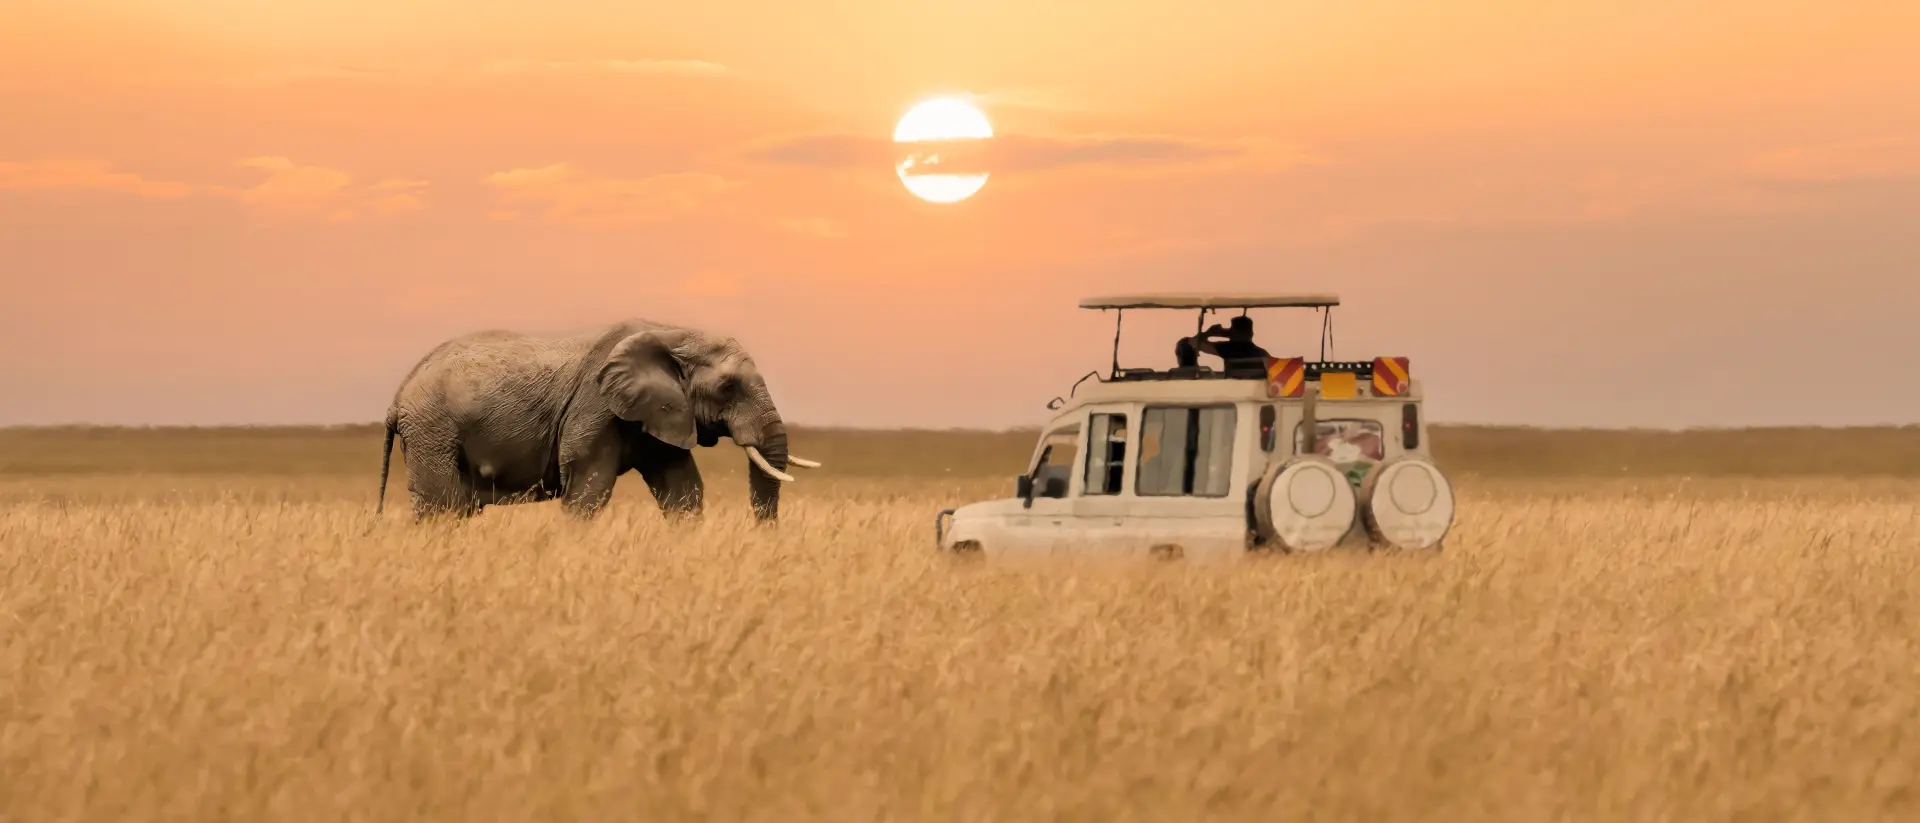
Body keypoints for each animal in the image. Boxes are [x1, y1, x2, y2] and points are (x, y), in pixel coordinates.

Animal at [373, 318, 820, 522]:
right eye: (728, 387)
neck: (671, 333)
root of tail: (398, 395)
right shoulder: (595, 409)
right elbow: (589, 489)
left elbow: (682, 490)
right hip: (433, 430)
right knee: (442, 509)